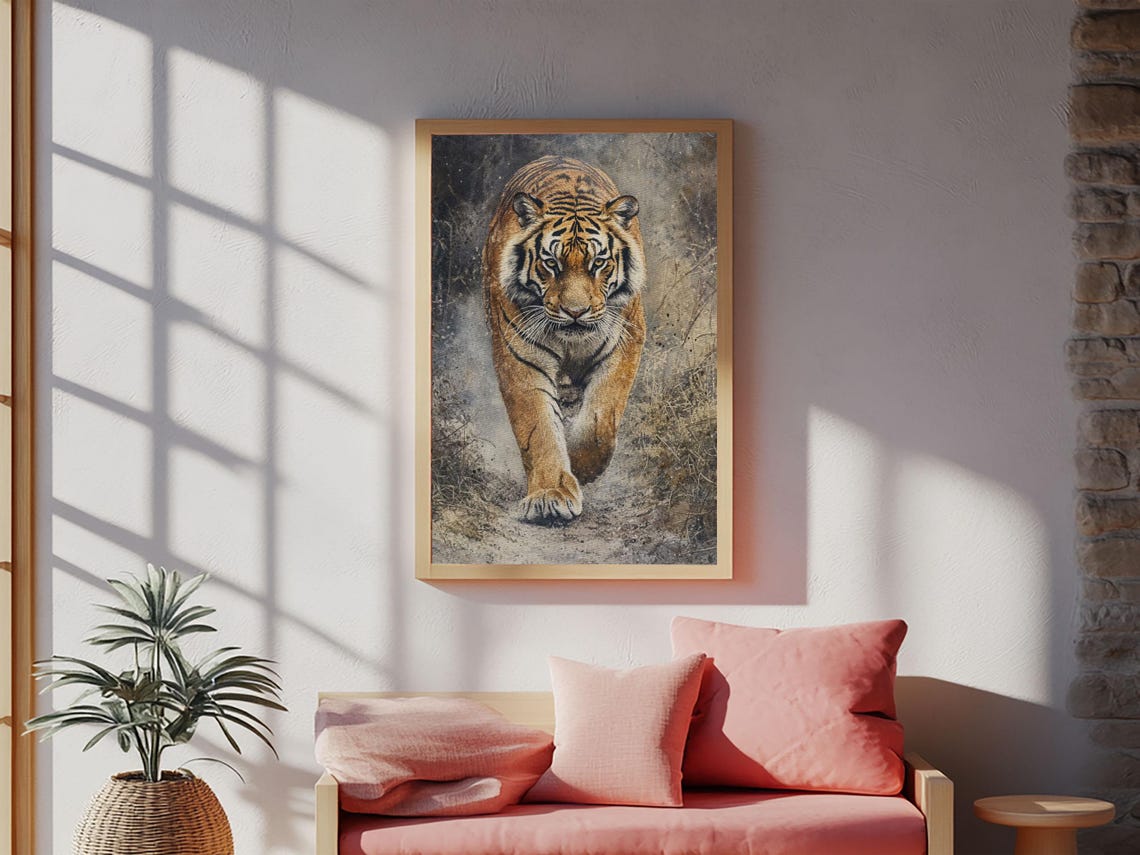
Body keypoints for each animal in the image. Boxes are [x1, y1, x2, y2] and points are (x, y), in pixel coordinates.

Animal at [482, 155, 647, 524]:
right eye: (550, 263)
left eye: (598, 262)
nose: (575, 311)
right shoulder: (520, 357)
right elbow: (539, 427)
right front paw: (549, 496)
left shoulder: (625, 342)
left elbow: (600, 420)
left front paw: (582, 468)